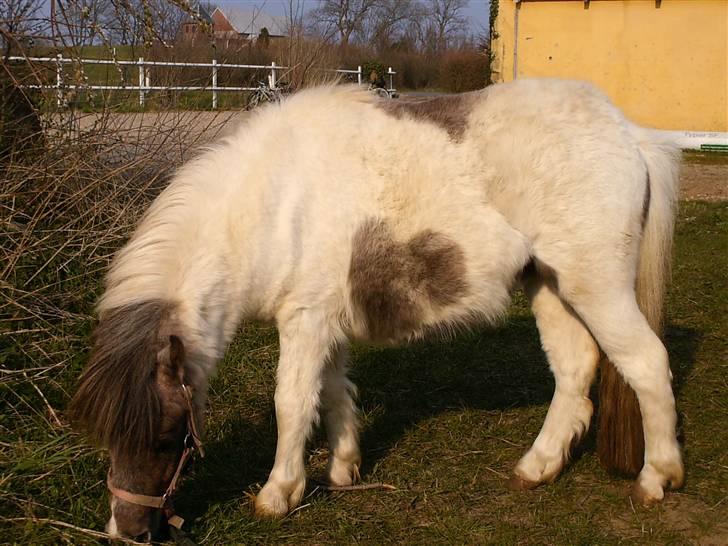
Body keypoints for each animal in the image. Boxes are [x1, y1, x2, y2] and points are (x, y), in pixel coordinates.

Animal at [69, 78, 684, 536]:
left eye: (168, 437)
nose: (128, 531)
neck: (274, 204)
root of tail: (629, 134)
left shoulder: (305, 322)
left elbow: (292, 403)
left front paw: (279, 492)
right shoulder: (325, 324)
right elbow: (333, 392)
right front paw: (343, 469)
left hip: (596, 287)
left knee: (647, 365)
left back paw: (657, 479)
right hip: (551, 287)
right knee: (574, 372)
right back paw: (537, 468)